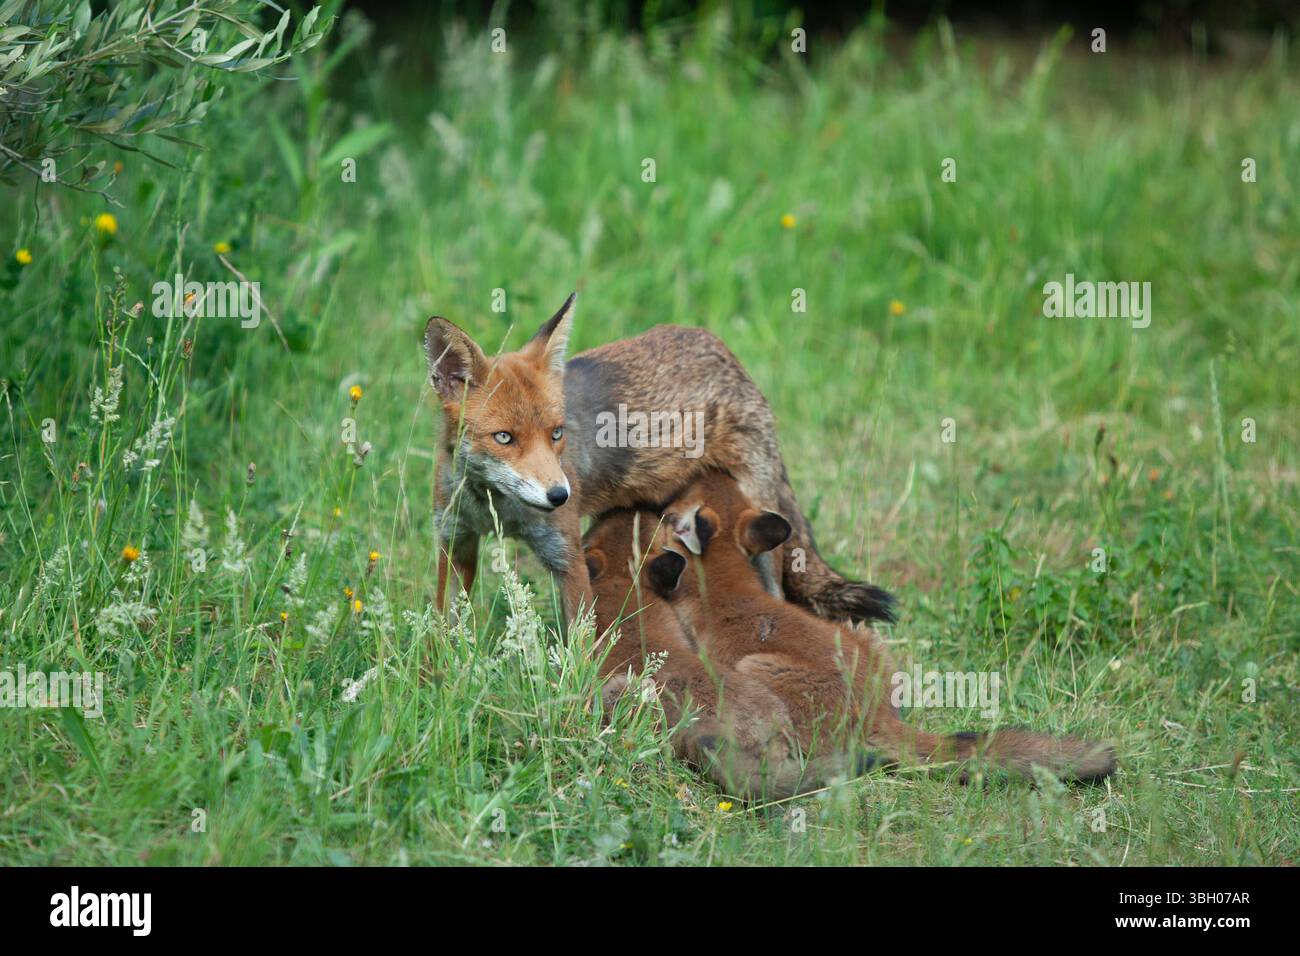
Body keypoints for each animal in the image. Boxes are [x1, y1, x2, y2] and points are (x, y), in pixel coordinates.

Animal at [424, 292, 894, 625]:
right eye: (504, 438)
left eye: (556, 434)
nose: (559, 496)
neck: (495, 506)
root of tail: (723, 349)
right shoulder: (456, 539)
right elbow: (448, 625)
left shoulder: (565, 554)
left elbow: (580, 644)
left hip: (760, 519)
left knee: (776, 587)